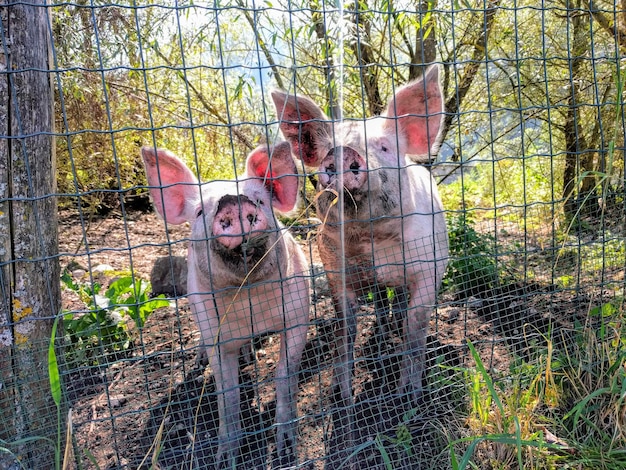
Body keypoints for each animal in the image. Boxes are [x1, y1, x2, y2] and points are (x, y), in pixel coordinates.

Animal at [140, 141, 308, 468]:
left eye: (259, 200)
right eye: (198, 211)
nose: (232, 201)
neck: (249, 299)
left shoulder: (297, 314)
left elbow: (285, 374)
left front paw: (286, 450)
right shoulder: (215, 332)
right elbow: (227, 393)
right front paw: (225, 458)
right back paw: (202, 362)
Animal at [270, 64, 446, 464]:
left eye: (384, 147)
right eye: (324, 153)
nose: (342, 153)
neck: (371, 241)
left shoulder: (427, 268)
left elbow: (416, 326)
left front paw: (407, 396)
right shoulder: (336, 269)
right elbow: (344, 329)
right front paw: (340, 393)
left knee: (399, 306)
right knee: (381, 303)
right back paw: (380, 331)